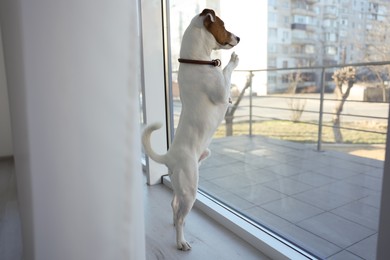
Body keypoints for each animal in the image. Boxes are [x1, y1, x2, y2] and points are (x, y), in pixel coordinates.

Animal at [142, 9, 239, 251]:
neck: (197, 61)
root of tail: (169, 157)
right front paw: (233, 60)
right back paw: (181, 241)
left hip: (190, 175)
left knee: (174, 204)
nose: (239, 38)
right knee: (180, 217)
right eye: (224, 25)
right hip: (190, 190)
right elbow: (226, 72)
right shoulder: (221, 93)